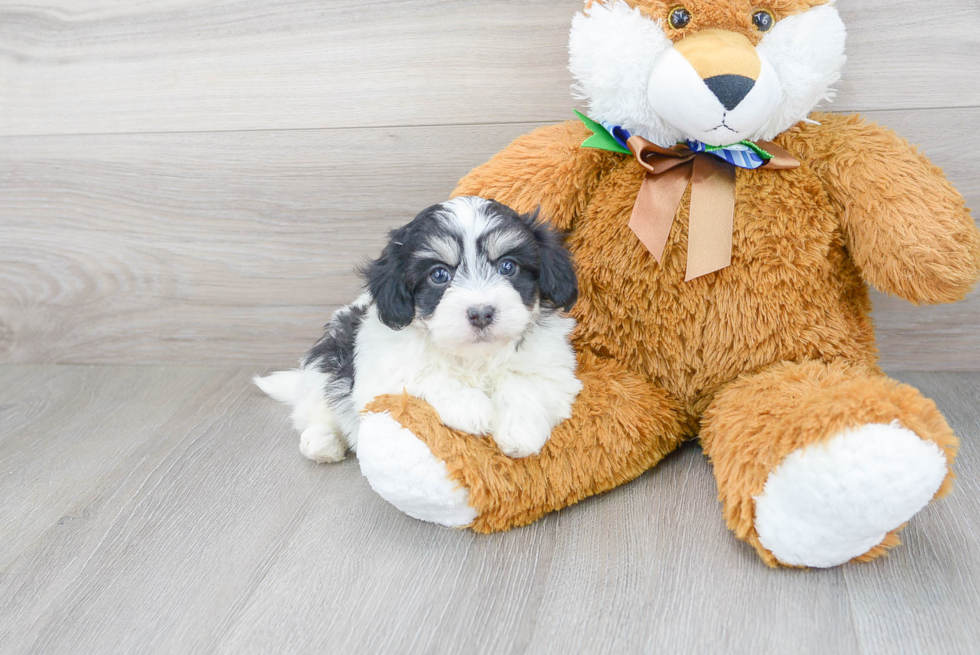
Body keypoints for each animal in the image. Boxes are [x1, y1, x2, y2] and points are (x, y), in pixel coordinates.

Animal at [256, 195, 584, 462]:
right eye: (439, 275)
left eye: (508, 267)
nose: (480, 313)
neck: (474, 357)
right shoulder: (384, 372)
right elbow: (425, 375)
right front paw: (469, 405)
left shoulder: (552, 371)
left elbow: (523, 384)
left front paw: (520, 431)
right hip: (326, 362)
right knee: (317, 409)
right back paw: (323, 442)